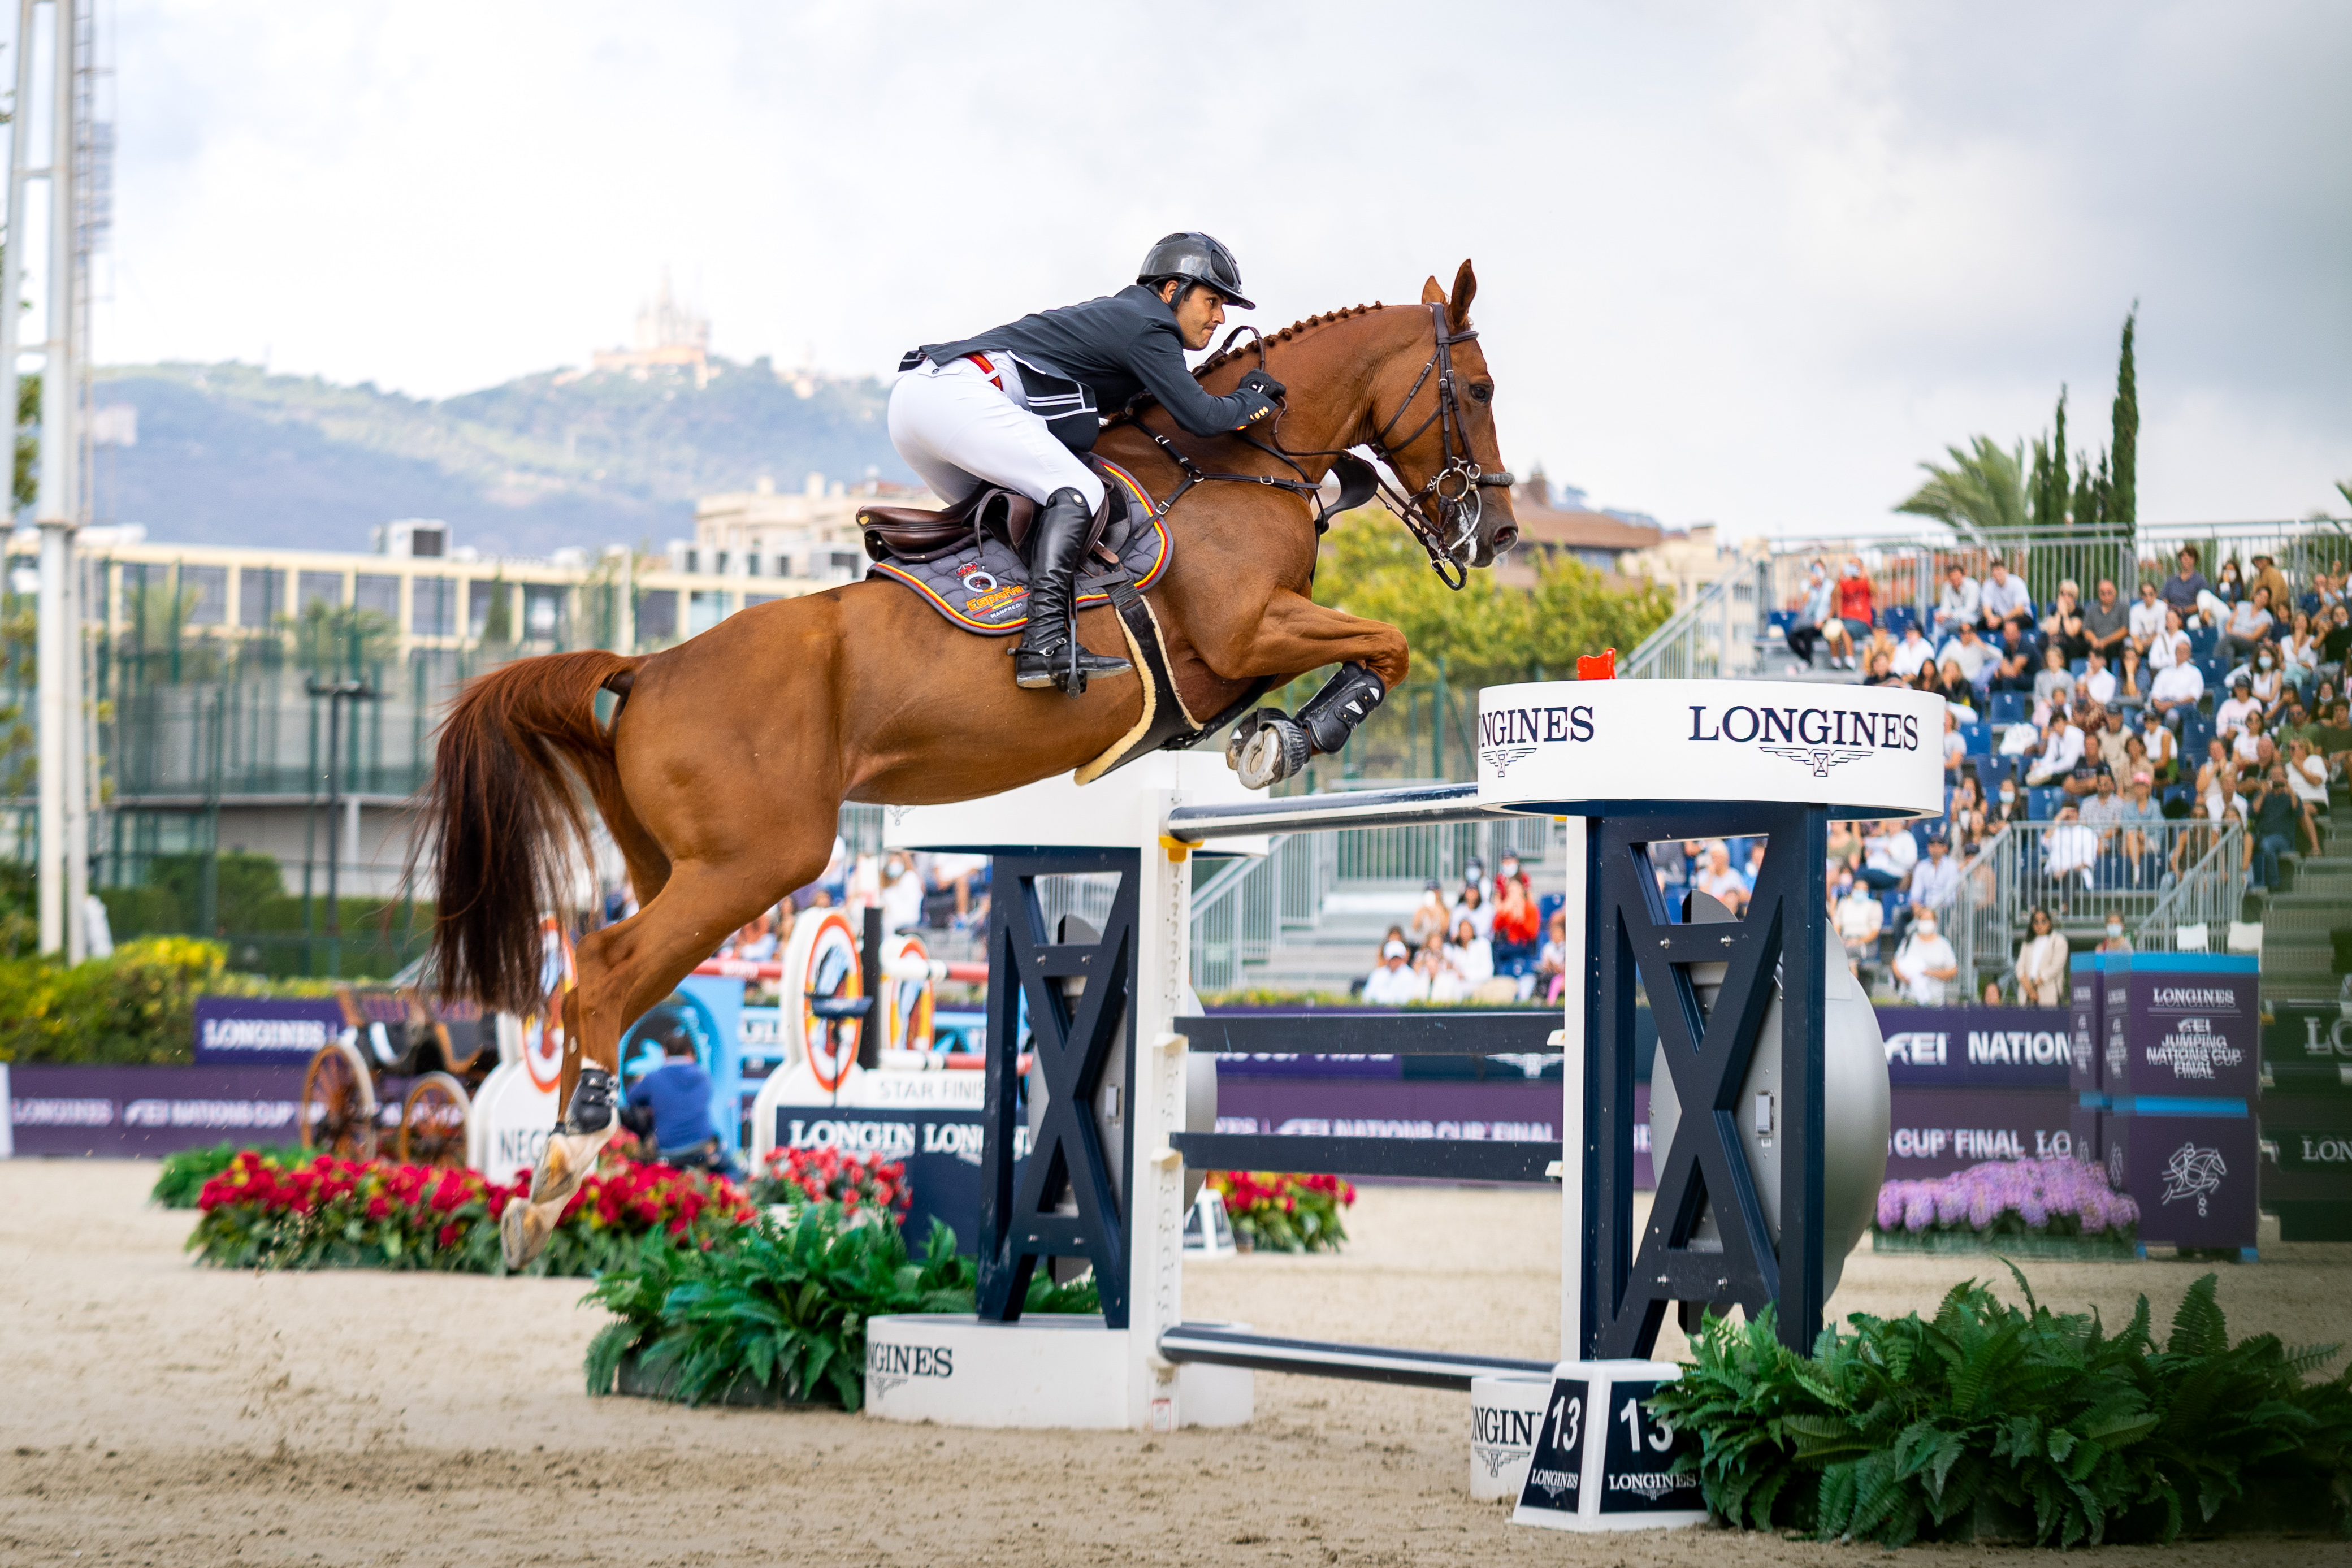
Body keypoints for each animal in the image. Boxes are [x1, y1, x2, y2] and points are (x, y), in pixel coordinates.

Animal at [430, 261, 1514, 1260]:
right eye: (1481, 388)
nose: (1495, 533)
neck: (1232, 466)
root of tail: (647, 666)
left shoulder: (1233, 660)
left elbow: (1365, 650)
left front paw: (1276, 731)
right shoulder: (1245, 629)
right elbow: (1387, 644)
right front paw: (1290, 738)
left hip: (688, 871)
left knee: (616, 983)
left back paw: (553, 1178)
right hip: (757, 862)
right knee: (604, 971)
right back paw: (561, 1166)